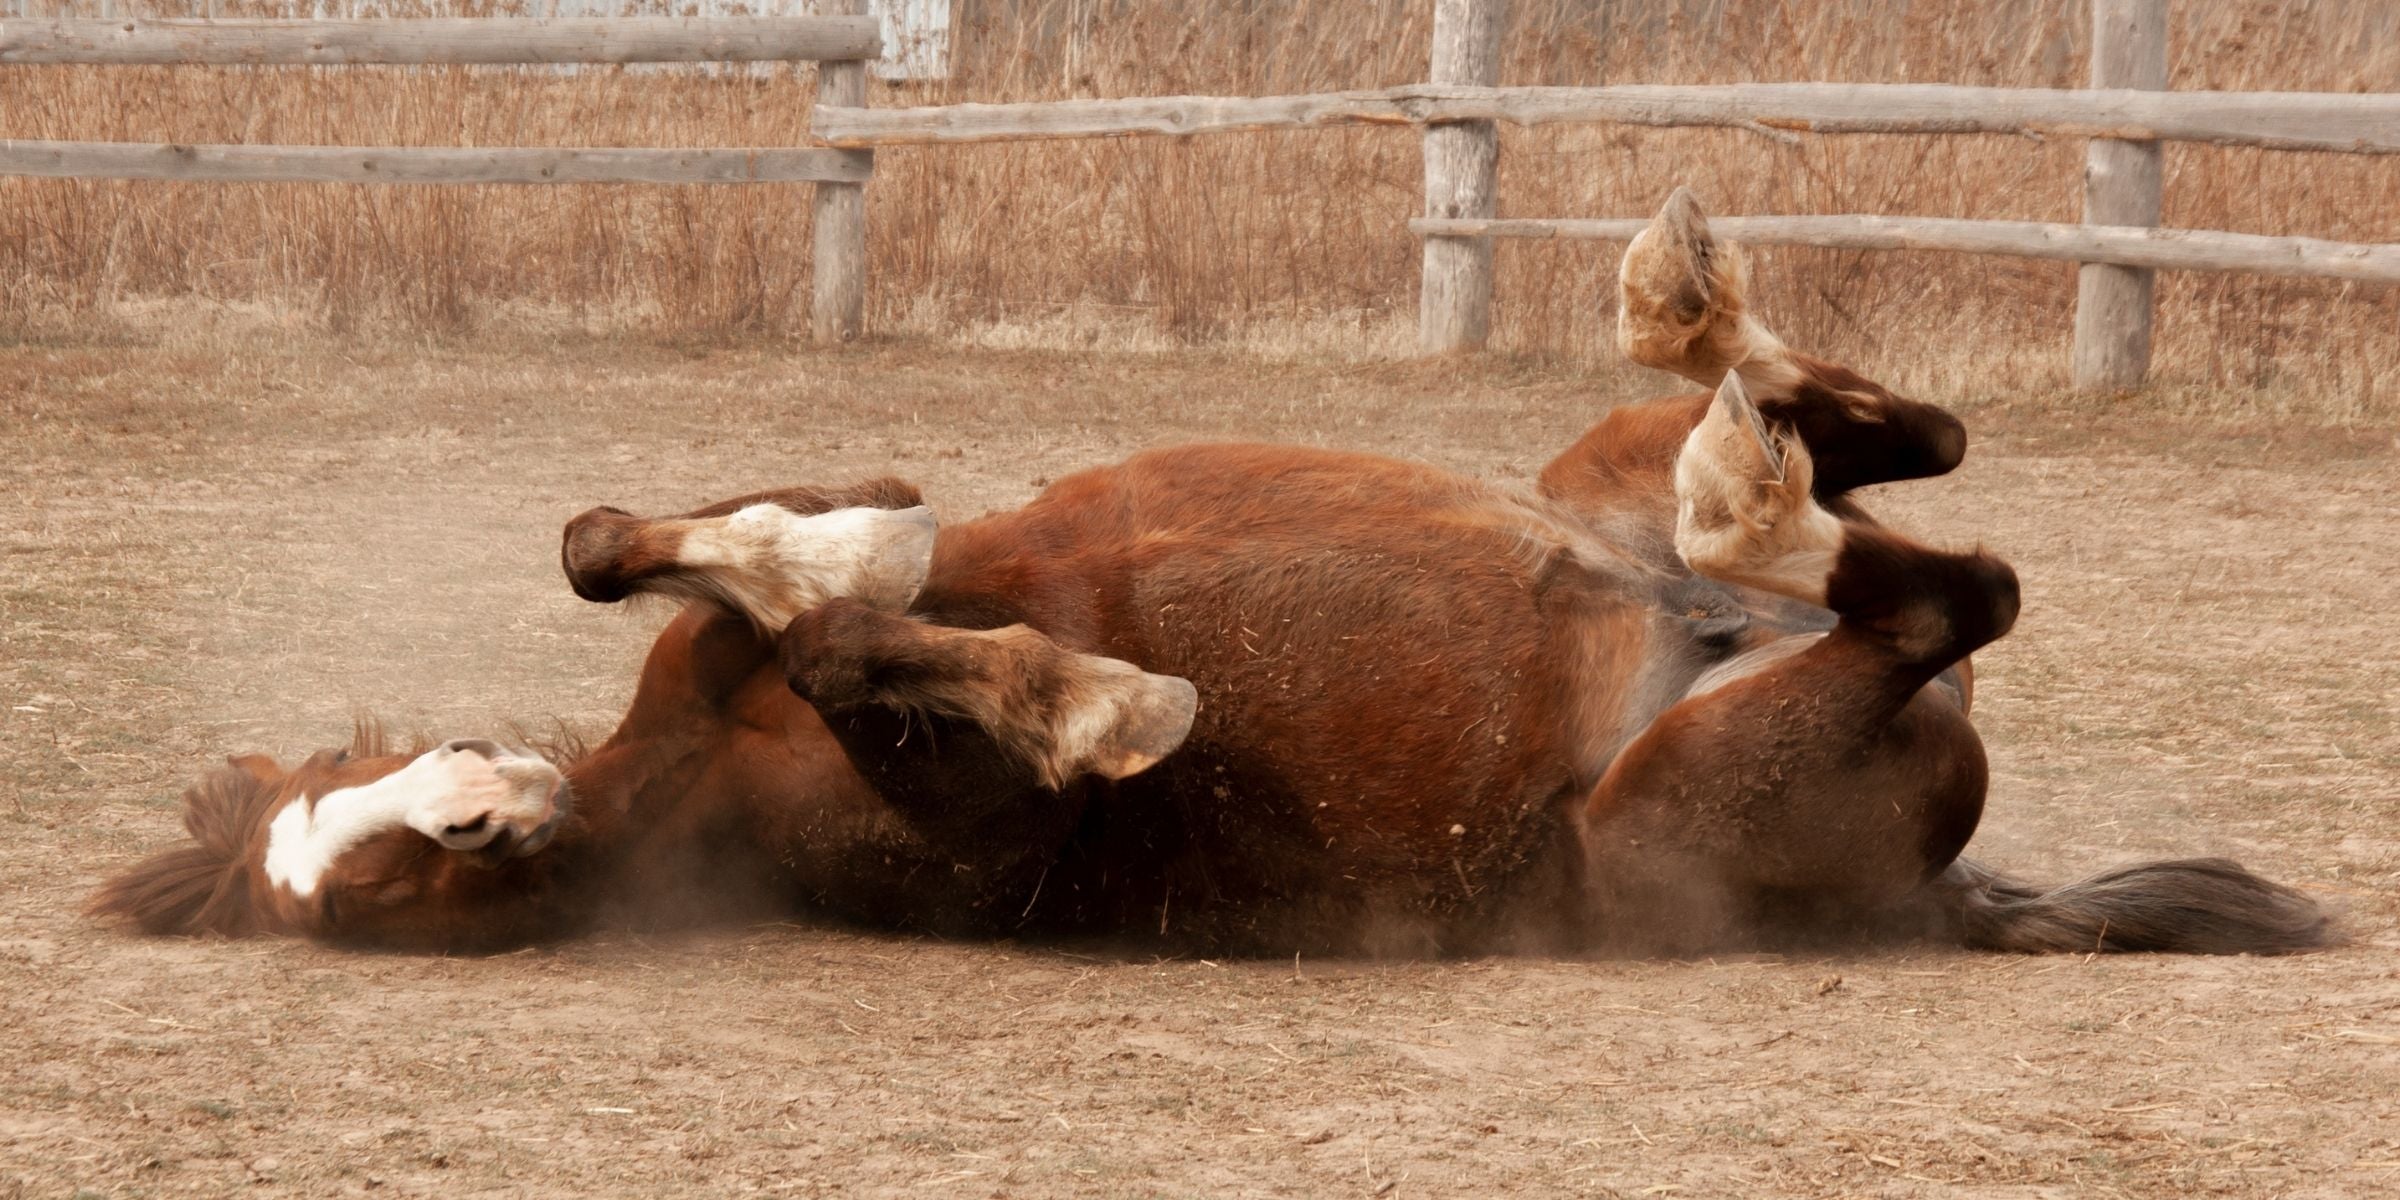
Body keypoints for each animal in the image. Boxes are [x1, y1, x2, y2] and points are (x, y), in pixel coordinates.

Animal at [90, 192, 2331, 958]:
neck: (671, 780)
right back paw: (1744, 502)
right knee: (1939, 587)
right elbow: (867, 656)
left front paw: (841, 550)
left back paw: (1703, 358)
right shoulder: (993, 851)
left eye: (364, 809)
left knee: (1873, 462)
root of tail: (1956, 894)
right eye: (372, 886)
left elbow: (686, 553)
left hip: (1583, 490)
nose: (488, 799)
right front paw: (1098, 698)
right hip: (1671, 814)